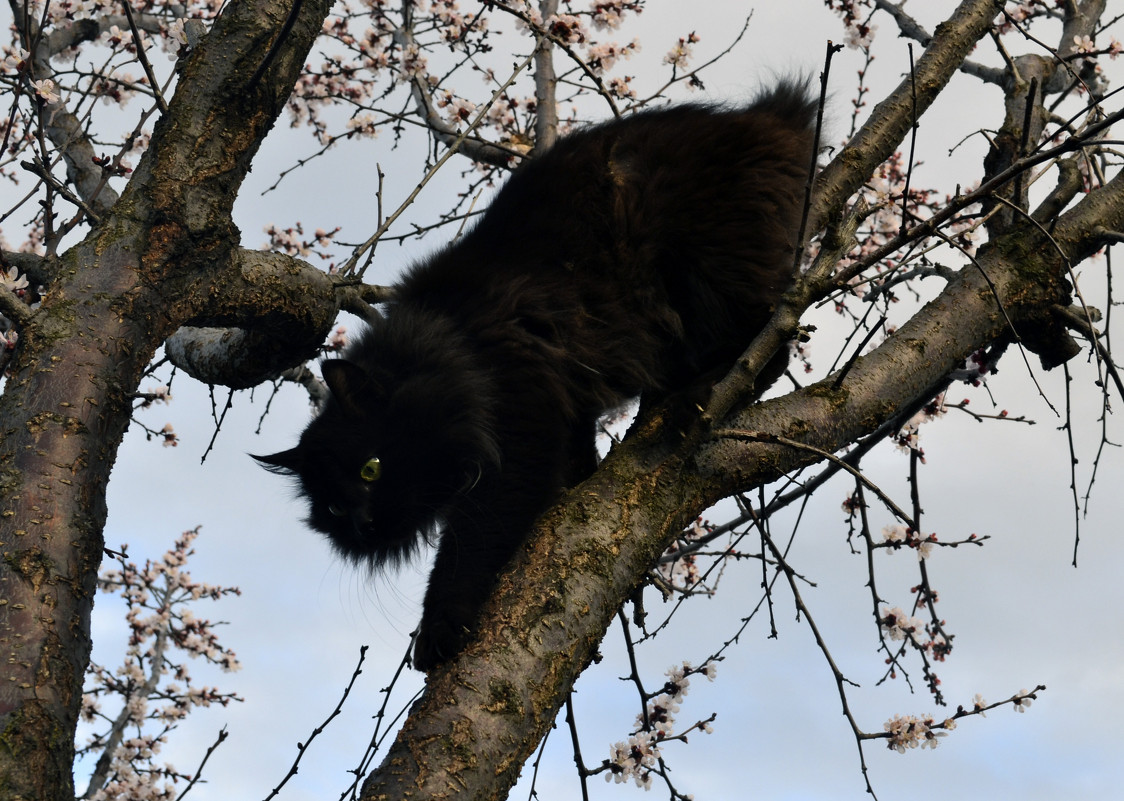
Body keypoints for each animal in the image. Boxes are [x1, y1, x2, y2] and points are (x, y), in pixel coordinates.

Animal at [255, 81, 818, 669]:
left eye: (371, 469)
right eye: (334, 508)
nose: (362, 524)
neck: (450, 339)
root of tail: (763, 118)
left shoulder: (518, 423)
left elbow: (468, 547)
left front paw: (438, 630)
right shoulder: (558, 408)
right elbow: (573, 456)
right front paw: (581, 480)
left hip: (703, 272)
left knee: (770, 345)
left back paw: (693, 401)